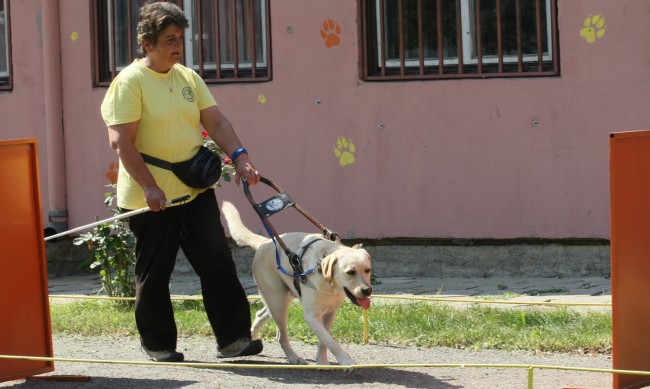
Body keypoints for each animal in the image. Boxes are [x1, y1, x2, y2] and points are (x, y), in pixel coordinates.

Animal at [221, 202, 370, 366]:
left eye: (367, 270)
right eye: (350, 272)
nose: (367, 290)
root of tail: (264, 242)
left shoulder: (331, 313)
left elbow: (324, 341)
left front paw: (322, 361)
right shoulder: (311, 317)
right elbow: (330, 341)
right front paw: (345, 360)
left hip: (281, 298)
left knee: (261, 314)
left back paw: (250, 340)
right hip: (278, 303)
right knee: (282, 337)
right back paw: (293, 357)